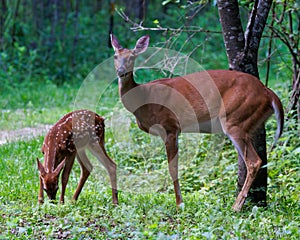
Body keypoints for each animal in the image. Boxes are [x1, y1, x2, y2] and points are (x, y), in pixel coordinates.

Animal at [110, 34, 284, 212]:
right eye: (115, 56)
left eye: (132, 57)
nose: (120, 72)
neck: (143, 99)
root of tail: (268, 92)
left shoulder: (170, 126)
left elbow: (173, 168)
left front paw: (180, 204)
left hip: (235, 118)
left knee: (254, 161)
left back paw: (236, 206)